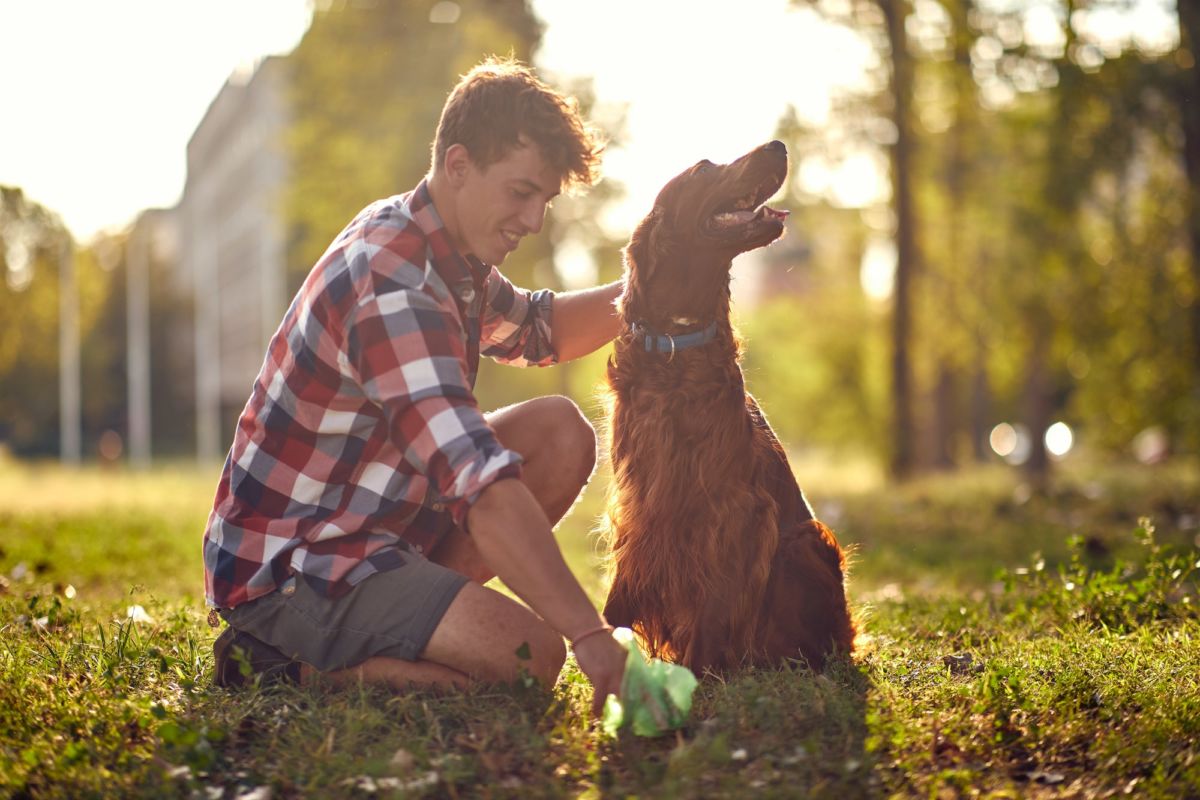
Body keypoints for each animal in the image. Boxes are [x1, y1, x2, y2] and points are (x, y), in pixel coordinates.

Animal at [600, 140, 854, 671]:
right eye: (702, 170)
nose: (778, 145)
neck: (677, 343)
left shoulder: (733, 509)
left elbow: (714, 604)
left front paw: (695, 672)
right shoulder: (640, 499)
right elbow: (620, 592)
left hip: (807, 540)